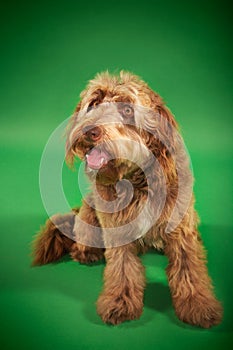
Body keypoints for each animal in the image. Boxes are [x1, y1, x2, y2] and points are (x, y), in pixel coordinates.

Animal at [31, 71, 222, 328]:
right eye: (94, 103)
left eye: (127, 110)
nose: (90, 130)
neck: (137, 180)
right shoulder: (116, 229)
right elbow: (122, 267)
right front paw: (120, 302)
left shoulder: (181, 228)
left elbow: (188, 267)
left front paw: (198, 304)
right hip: (90, 212)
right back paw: (86, 251)